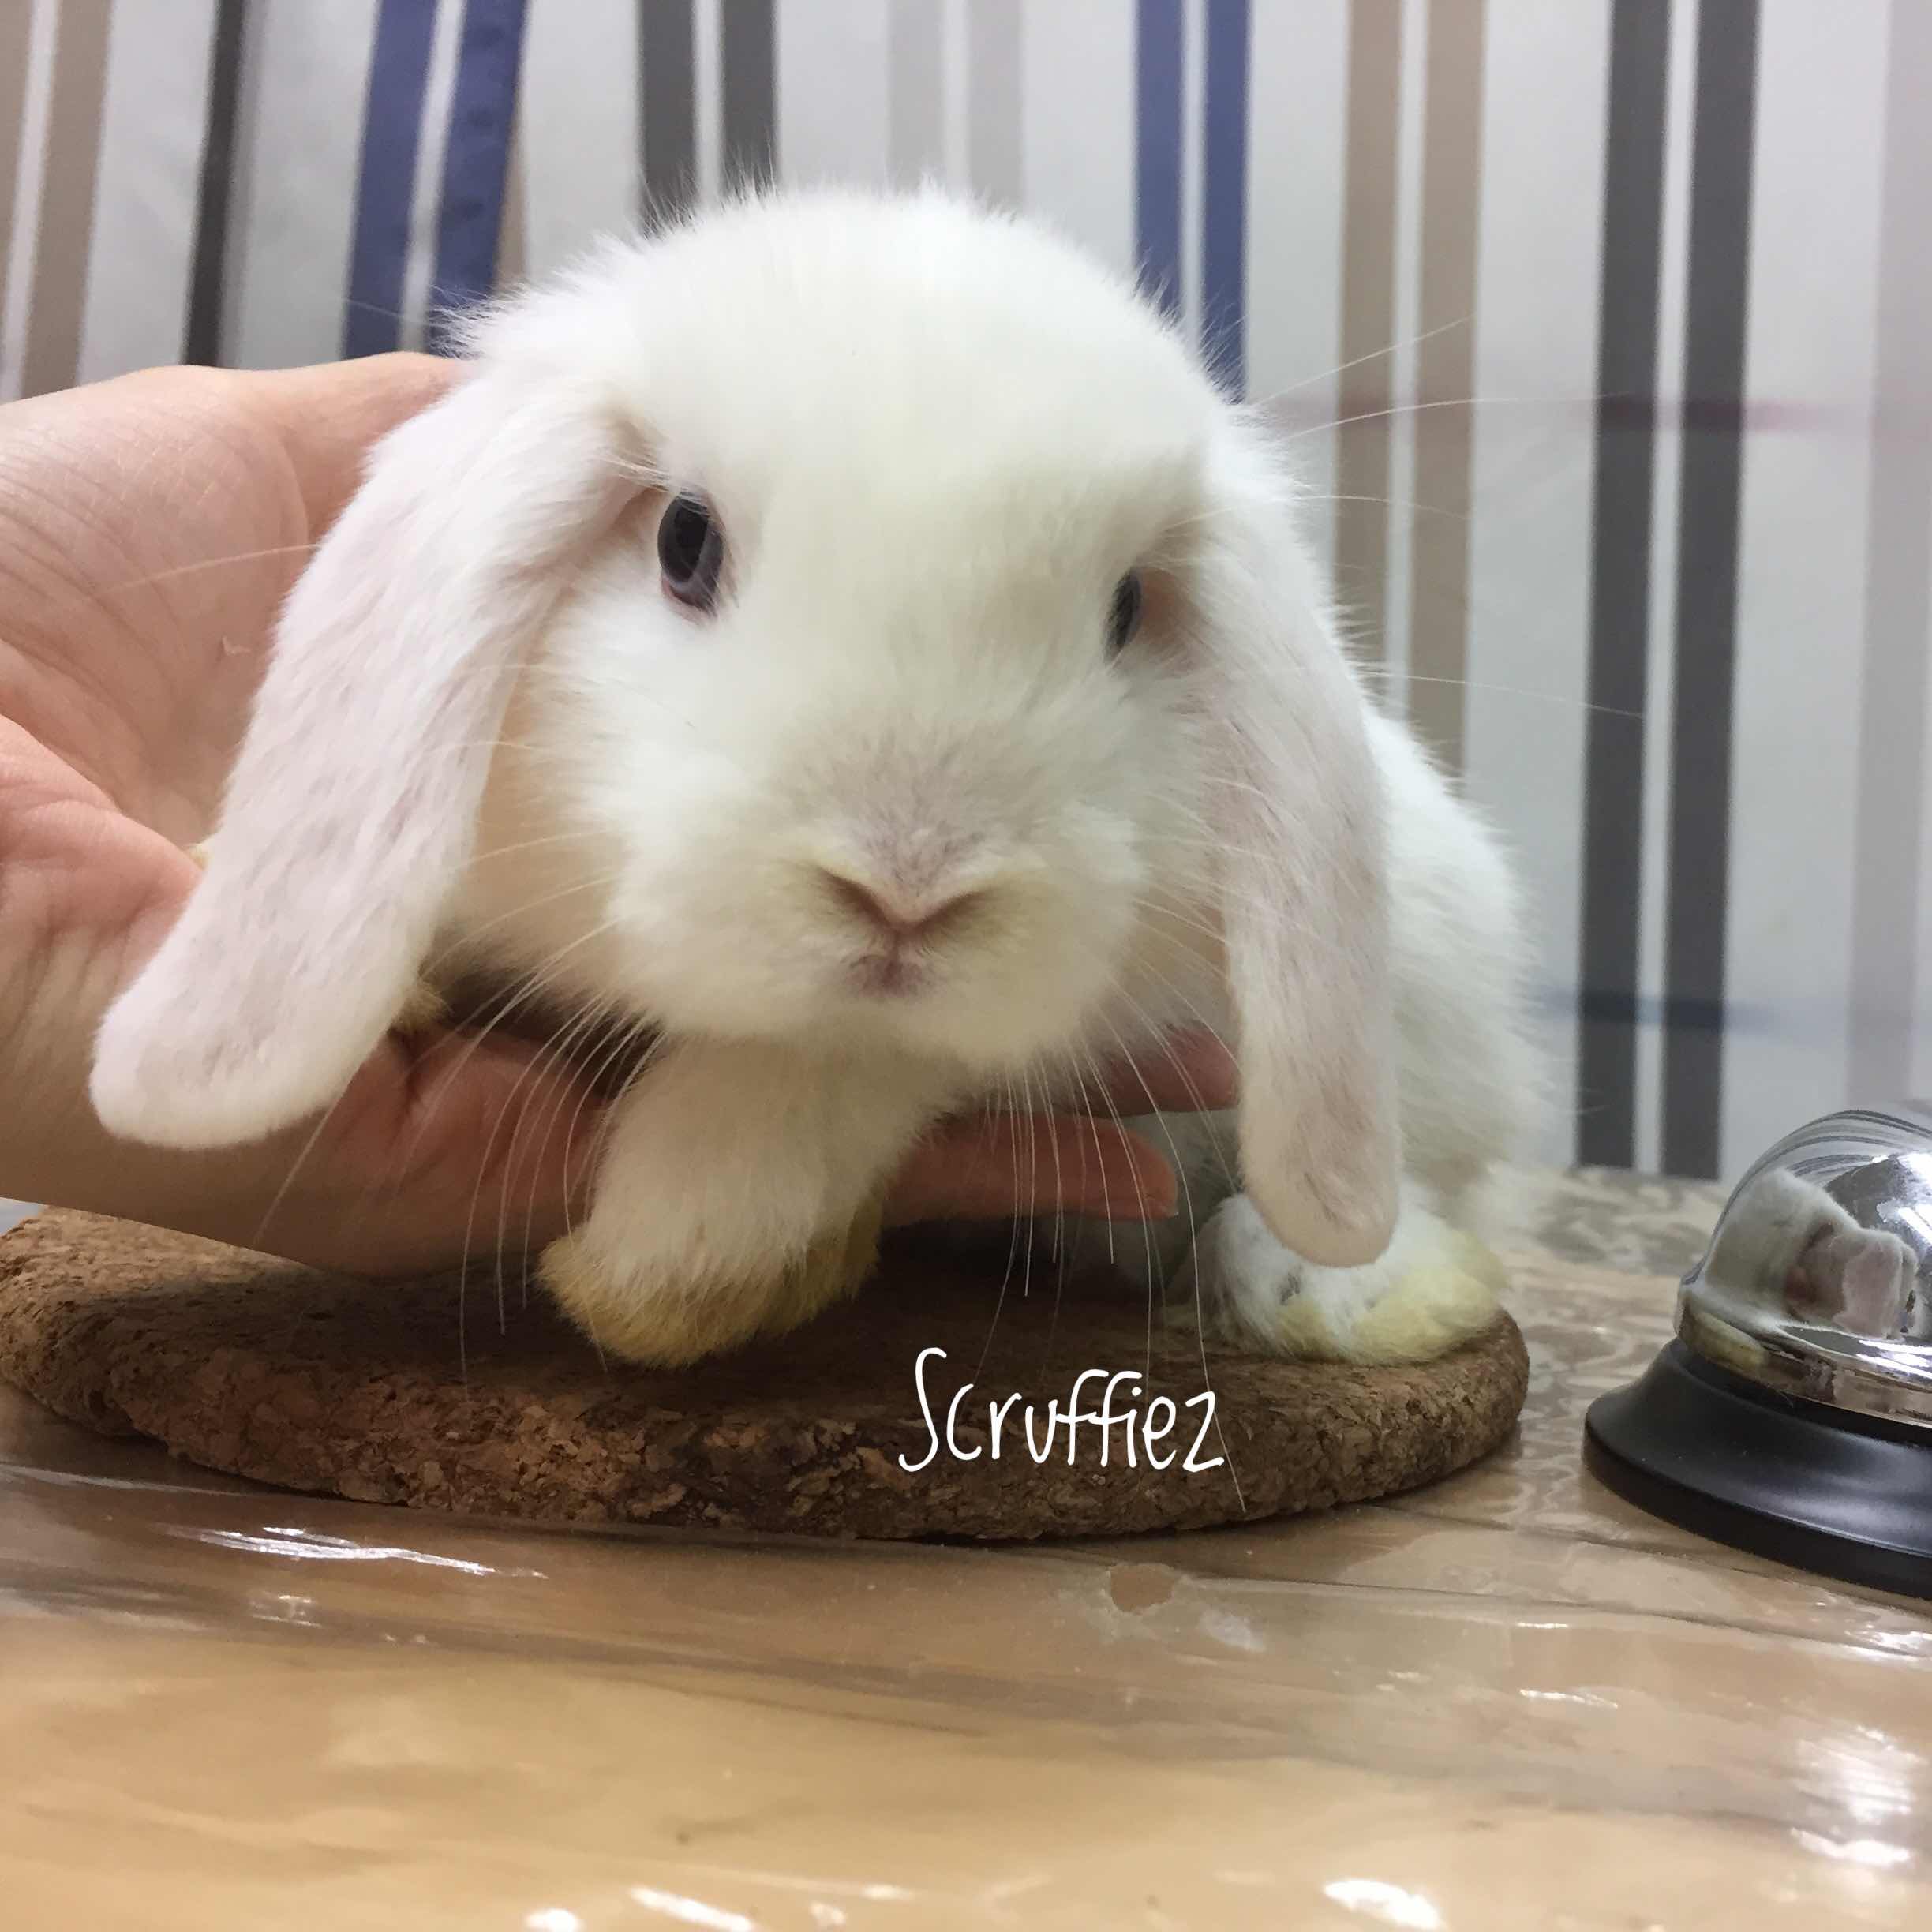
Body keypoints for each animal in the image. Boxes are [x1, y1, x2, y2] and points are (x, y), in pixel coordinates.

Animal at [89, 188, 1542, 1369]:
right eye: (683, 542)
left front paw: (665, 1257)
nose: (908, 889)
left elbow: (833, 1064)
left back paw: (1347, 1293)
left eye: (1128, 607)